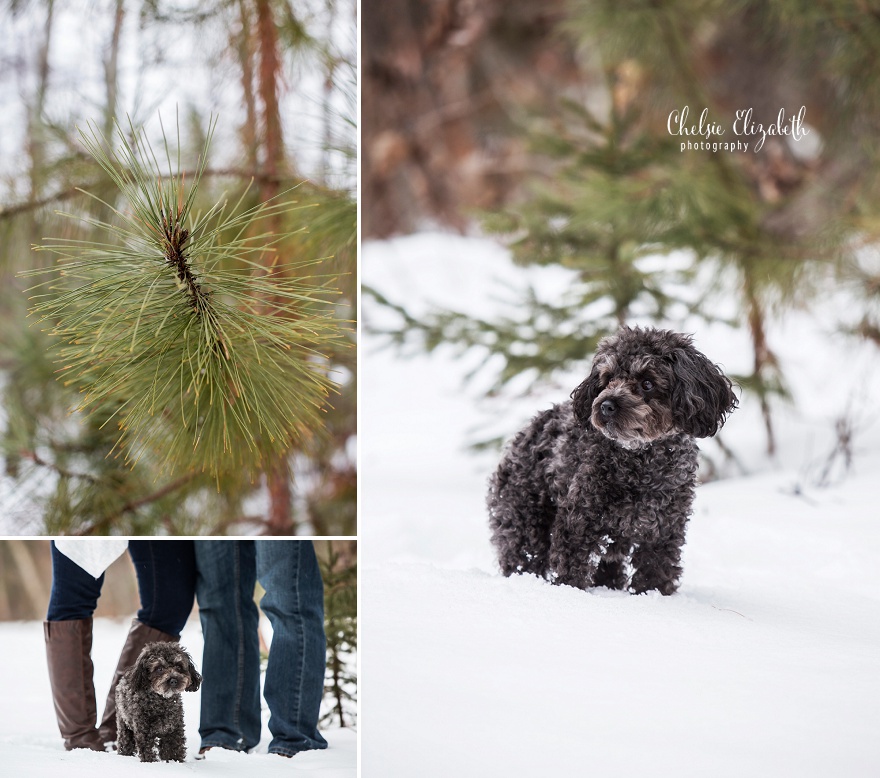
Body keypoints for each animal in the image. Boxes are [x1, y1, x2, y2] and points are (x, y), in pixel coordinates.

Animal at [488, 326, 736, 596]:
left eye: (647, 383)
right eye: (607, 379)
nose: (606, 405)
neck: (641, 463)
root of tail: (521, 436)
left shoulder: (663, 530)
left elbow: (656, 569)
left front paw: (653, 595)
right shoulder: (578, 523)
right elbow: (571, 567)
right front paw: (570, 592)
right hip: (525, 522)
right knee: (524, 556)